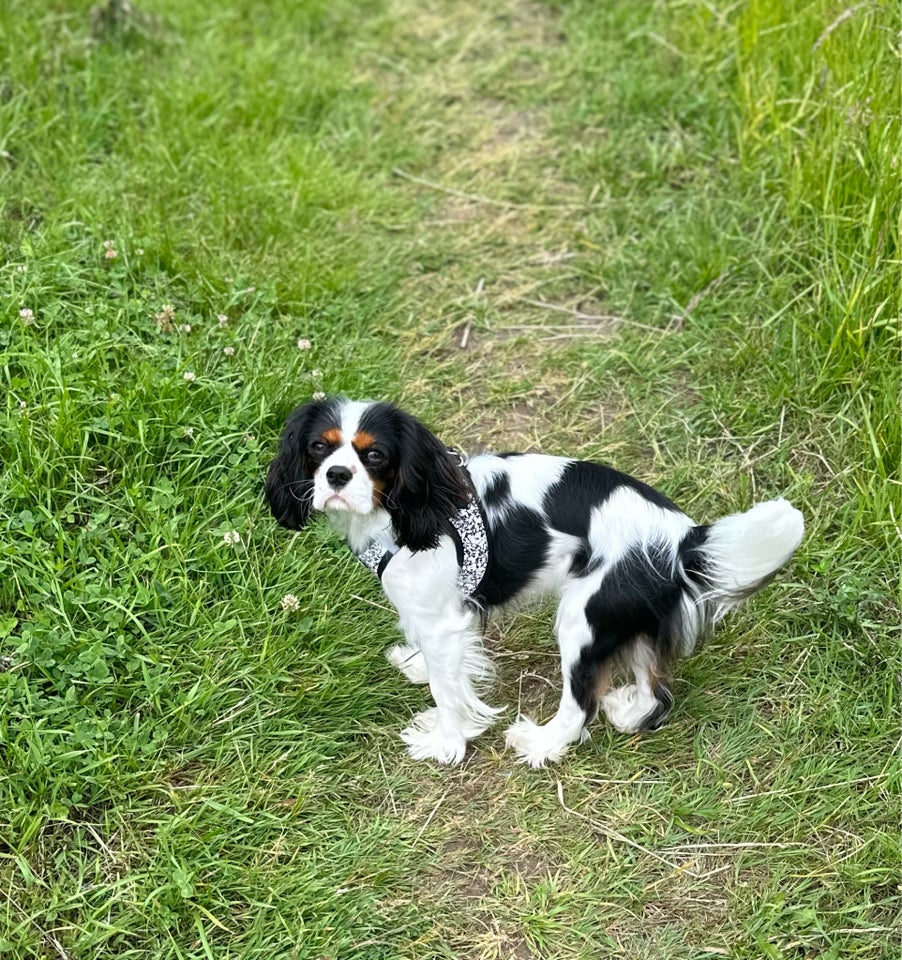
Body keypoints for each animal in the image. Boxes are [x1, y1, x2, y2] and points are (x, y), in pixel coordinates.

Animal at [264, 396, 808, 764]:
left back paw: (542, 743)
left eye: (374, 456)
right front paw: (417, 666)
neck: (407, 509)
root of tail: (679, 538)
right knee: (657, 694)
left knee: (580, 707)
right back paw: (629, 712)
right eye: (318, 448)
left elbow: (447, 689)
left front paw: (445, 741)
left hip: (581, 619)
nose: (336, 475)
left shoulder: (441, 617)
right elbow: (442, 666)